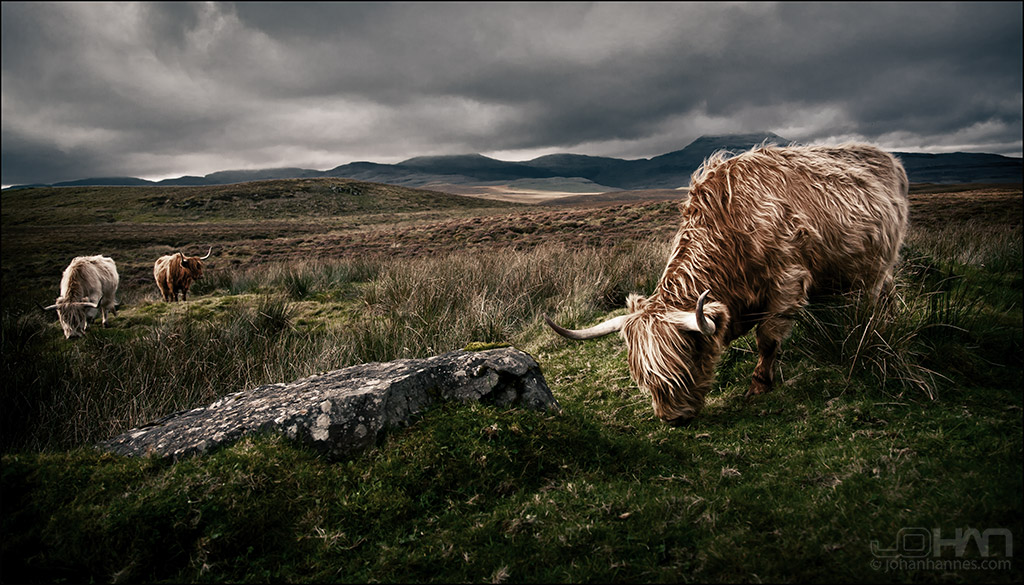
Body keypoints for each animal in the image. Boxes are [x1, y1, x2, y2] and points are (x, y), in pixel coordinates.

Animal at [548, 142, 909, 426]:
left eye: (684, 365)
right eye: (643, 378)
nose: (672, 419)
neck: (732, 232)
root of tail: (886, 157)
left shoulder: (788, 282)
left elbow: (768, 339)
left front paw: (758, 386)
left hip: (881, 263)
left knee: (876, 298)